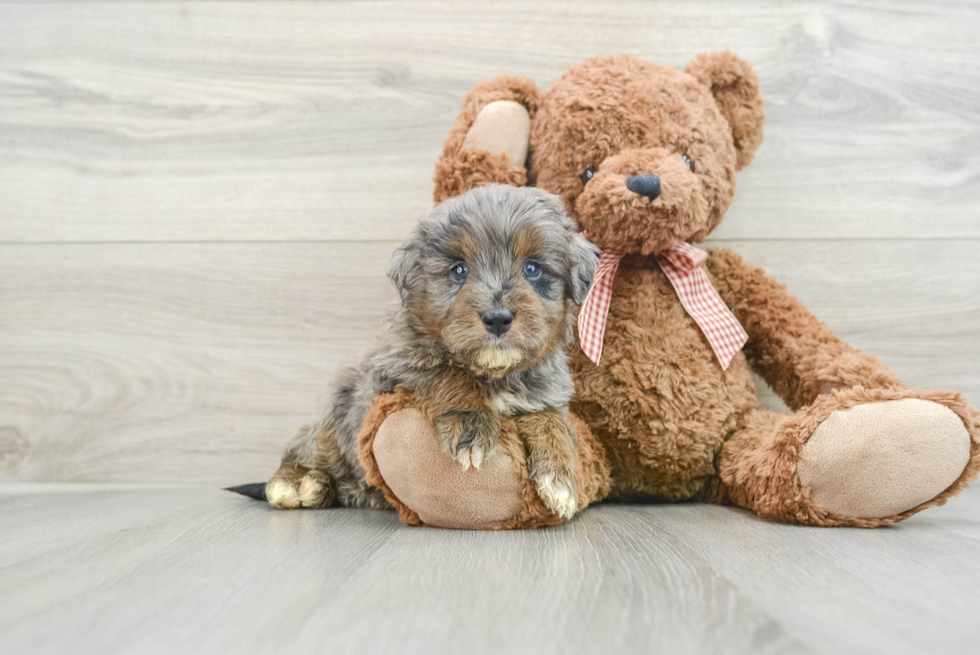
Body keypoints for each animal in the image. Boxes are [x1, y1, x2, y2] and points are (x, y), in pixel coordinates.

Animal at [262, 183, 596, 516]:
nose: (498, 319)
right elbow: (447, 374)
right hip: (335, 419)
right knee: (304, 448)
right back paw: (298, 483)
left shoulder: (545, 394)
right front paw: (472, 423)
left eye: (532, 269)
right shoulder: (398, 364)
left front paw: (560, 475)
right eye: (459, 270)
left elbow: (552, 420)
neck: (493, 372)